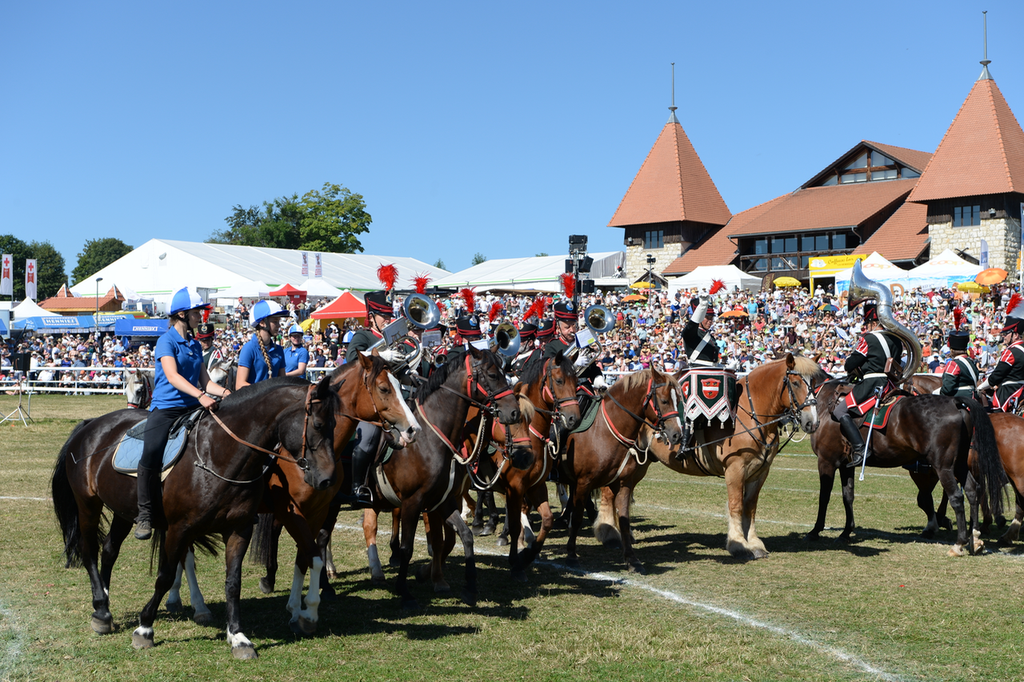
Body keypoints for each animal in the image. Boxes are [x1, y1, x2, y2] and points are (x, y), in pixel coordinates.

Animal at [51, 374, 337, 655]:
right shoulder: (179, 528)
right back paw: (100, 608)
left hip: (124, 509)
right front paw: (145, 628)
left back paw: (105, 606)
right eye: (319, 424)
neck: (220, 454)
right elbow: (165, 576)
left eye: (336, 424)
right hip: (88, 504)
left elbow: (233, 582)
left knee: (110, 550)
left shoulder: (240, 528)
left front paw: (238, 637)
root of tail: (91, 424)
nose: (327, 479)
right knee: (89, 550)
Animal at [360, 348, 532, 602]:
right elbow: (412, 546)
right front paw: (407, 588)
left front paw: (468, 584)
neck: (429, 440)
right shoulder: (414, 502)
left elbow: (460, 536)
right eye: (492, 375)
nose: (512, 411)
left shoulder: (442, 500)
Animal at [557, 366, 684, 569]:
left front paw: (631, 558)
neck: (603, 431)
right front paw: (571, 554)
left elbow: (624, 518)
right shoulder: (584, 482)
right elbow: (577, 517)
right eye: (664, 401)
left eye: (679, 400)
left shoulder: (623, 482)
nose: (676, 435)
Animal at [593, 352, 823, 561]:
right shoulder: (735, 469)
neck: (751, 415)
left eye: (815, 384)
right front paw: (739, 544)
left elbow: (751, 507)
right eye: (795, 383)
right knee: (608, 493)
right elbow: (736, 506)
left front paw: (755, 544)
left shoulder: (760, 472)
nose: (812, 422)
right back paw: (609, 533)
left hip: (641, 464)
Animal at [802, 374, 1003, 557]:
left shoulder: (827, 461)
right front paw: (845, 533)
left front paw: (815, 531)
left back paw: (959, 543)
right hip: (959, 464)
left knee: (956, 497)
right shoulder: (846, 465)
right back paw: (975, 539)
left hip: (944, 467)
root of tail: (954, 402)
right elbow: (848, 497)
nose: (808, 423)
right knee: (972, 491)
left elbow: (824, 497)